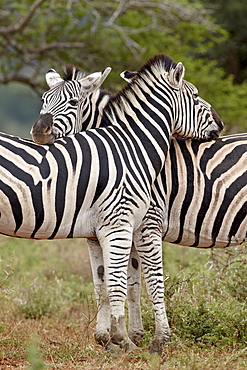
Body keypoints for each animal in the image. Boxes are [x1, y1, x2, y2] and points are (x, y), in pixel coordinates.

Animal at [30, 53, 222, 352]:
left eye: (72, 103)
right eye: (43, 100)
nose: (39, 132)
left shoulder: (141, 224)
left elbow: (136, 281)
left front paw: (134, 336)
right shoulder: (104, 229)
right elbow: (112, 281)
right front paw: (118, 336)